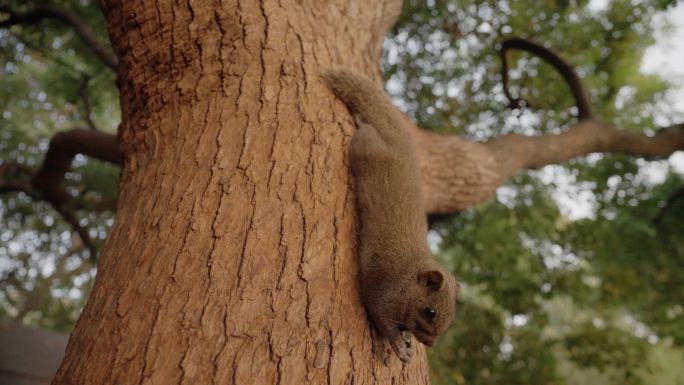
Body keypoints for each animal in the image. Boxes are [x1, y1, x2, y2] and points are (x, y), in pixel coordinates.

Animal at [322, 68, 460, 360]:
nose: (429, 344)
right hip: (365, 147)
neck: (409, 276)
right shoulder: (384, 293)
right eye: (430, 312)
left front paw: (405, 339)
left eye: (451, 318)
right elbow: (382, 319)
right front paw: (399, 346)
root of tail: (398, 136)